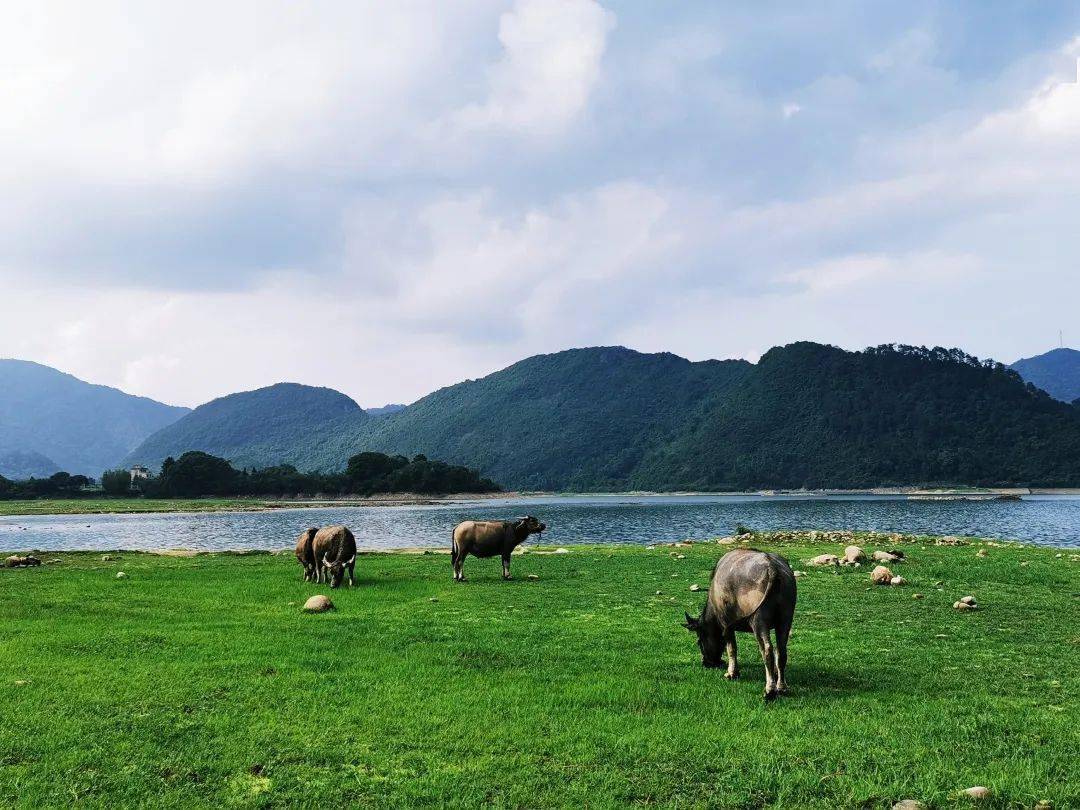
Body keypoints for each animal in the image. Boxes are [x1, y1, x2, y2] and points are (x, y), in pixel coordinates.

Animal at [686, 548, 799, 699]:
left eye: (699, 641)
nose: (706, 663)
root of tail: (773, 568)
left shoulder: (725, 624)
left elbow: (731, 648)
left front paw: (731, 673)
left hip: (759, 621)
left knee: (767, 650)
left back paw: (769, 690)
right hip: (785, 619)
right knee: (781, 651)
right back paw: (782, 687)